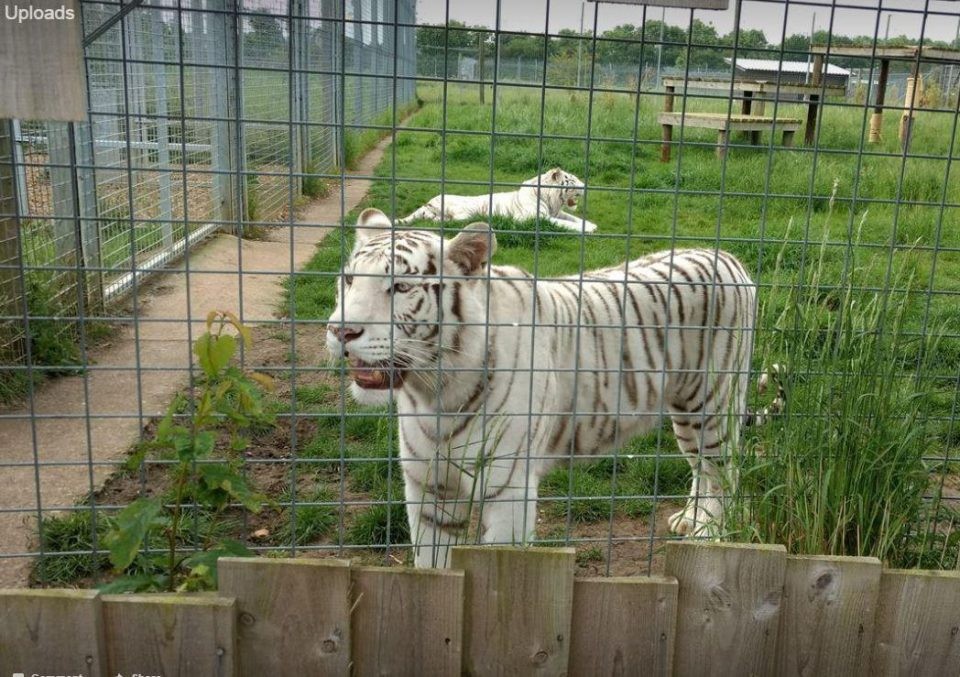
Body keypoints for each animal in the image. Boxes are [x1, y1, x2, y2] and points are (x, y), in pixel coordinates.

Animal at [326, 208, 758, 568]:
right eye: (348, 279)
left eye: (400, 287)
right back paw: (689, 520)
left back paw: (712, 536)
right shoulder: (428, 488)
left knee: (725, 472)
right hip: (685, 415)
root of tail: (727, 256)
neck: (434, 391)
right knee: (701, 468)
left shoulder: (508, 488)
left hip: (712, 405)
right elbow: (431, 570)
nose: (340, 330)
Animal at [396, 167, 599, 233]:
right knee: (447, 221)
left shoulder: (557, 212)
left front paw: (591, 225)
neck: (551, 201)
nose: (585, 186)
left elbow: (573, 218)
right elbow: (565, 224)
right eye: (572, 180)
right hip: (465, 213)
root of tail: (428, 202)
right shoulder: (535, 217)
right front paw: (588, 230)